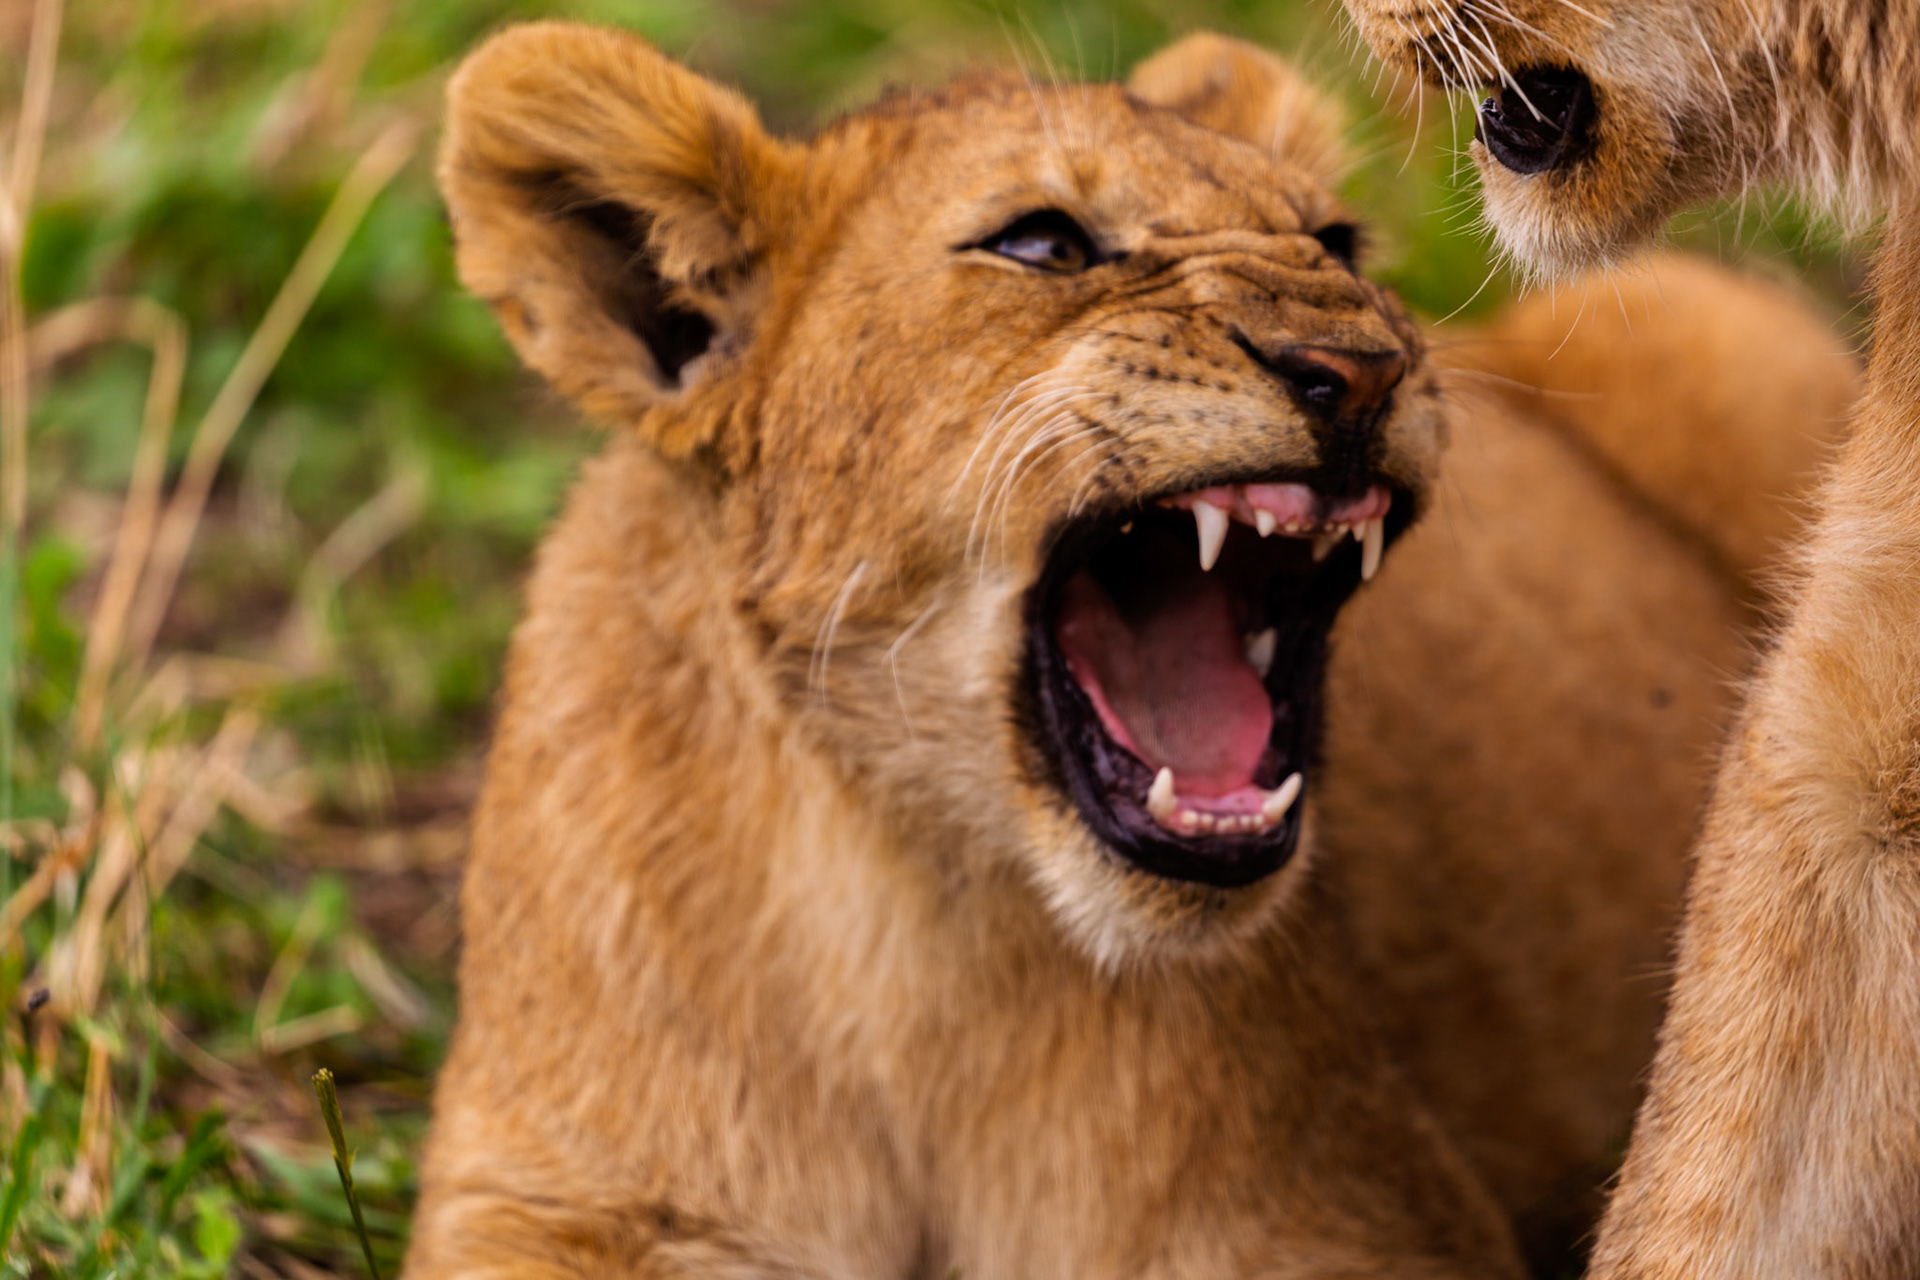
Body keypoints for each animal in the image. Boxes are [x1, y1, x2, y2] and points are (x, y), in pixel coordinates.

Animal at [406, 23, 1850, 1278]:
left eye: (1334, 242)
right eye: (1043, 242)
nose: (1359, 365)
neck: (914, 908)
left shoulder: (1336, 1211)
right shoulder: (557, 1197)